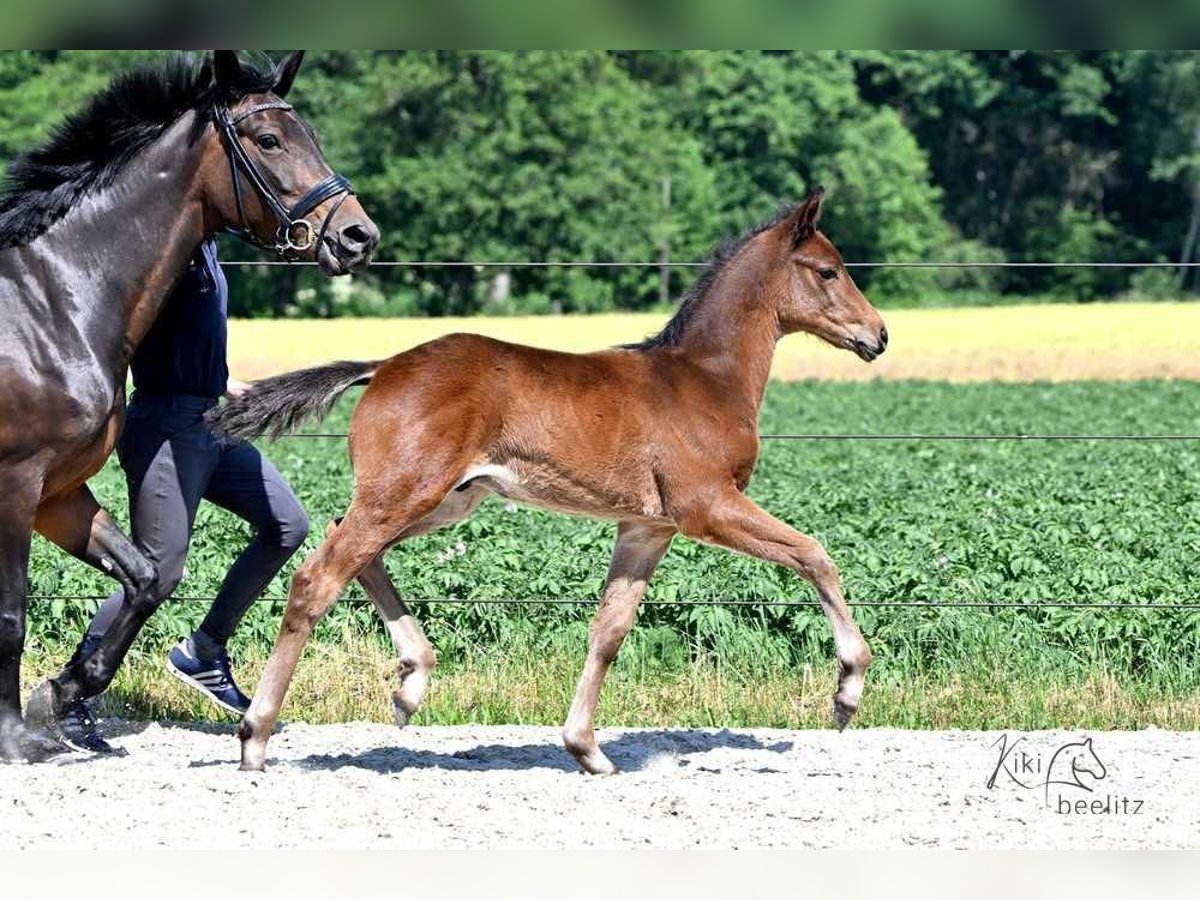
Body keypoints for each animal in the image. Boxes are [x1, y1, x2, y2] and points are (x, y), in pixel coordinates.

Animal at [211, 187, 892, 772]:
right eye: (828, 271)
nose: (879, 334)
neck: (703, 379)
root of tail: (382, 367)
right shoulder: (707, 506)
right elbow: (814, 554)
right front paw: (848, 690)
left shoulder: (646, 527)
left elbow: (610, 630)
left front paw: (586, 748)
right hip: (405, 495)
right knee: (317, 578)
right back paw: (256, 737)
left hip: (442, 501)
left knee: (353, 552)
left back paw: (412, 683)